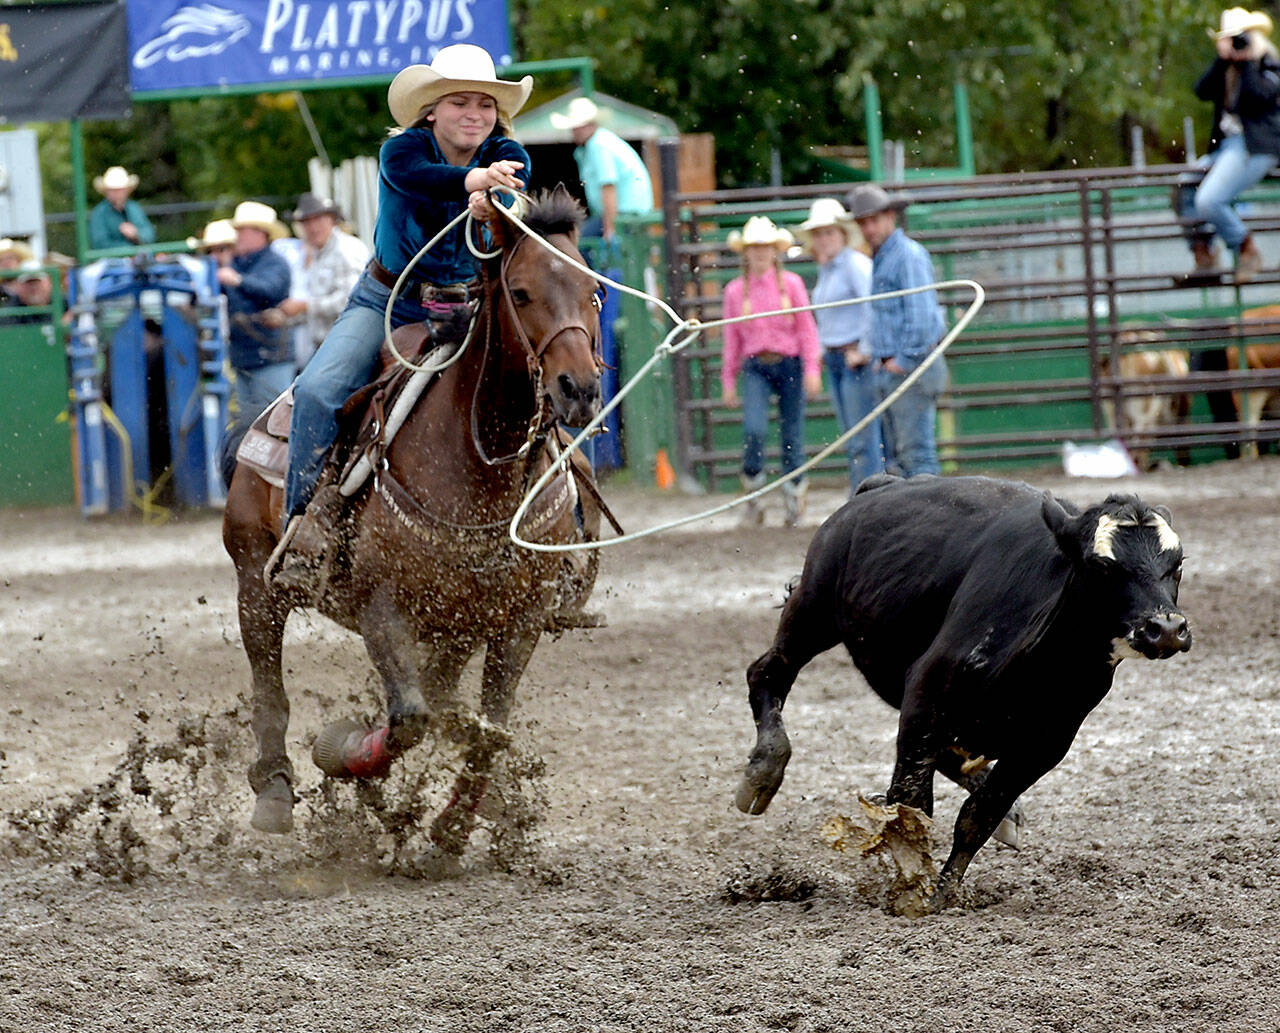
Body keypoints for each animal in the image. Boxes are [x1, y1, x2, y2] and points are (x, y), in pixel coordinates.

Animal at [224, 192, 604, 849]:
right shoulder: (385, 610)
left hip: (456, 626)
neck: (481, 463)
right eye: (522, 291)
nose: (577, 388)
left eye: (594, 292)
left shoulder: (518, 620)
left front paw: (453, 829)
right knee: (269, 686)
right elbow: (412, 719)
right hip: (256, 581)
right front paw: (347, 758)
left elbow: (487, 726)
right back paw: (273, 790)